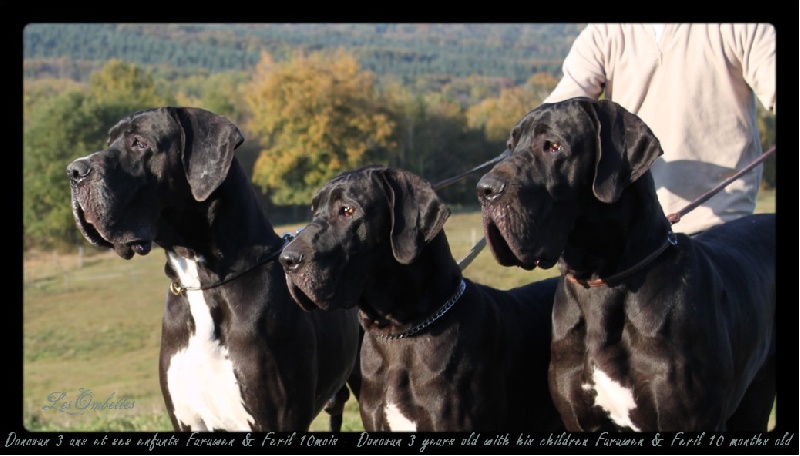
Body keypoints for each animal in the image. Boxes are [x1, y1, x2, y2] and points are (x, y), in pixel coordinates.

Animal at [67, 106, 361, 432]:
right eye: (110, 141)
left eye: (139, 143)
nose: (74, 171)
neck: (203, 281)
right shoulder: (186, 420)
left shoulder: (277, 419)